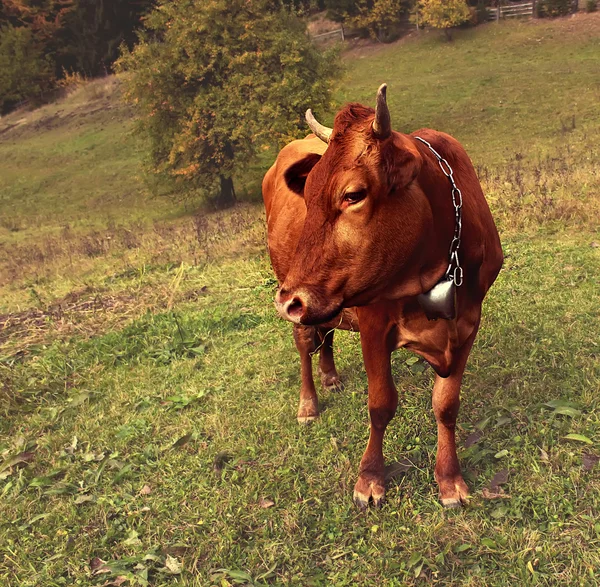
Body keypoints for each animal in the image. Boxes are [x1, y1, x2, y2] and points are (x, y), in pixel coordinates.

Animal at [262, 84, 502, 510]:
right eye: (308, 194)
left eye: (353, 194)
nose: (288, 300)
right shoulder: (373, 323)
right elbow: (381, 404)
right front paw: (370, 478)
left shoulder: (468, 323)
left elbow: (446, 405)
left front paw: (449, 479)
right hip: (293, 286)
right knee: (305, 341)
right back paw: (308, 403)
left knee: (324, 332)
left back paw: (330, 376)